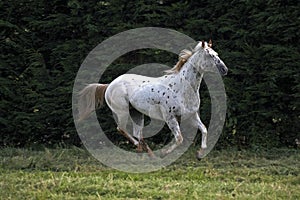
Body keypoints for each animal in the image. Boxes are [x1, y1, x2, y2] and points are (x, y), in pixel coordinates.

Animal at [78, 40, 227, 159]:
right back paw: (142, 149)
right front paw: (164, 153)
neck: (182, 88)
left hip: (136, 113)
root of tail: (109, 85)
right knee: (121, 129)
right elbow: (179, 139)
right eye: (209, 55)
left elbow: (204, 129)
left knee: (136, 132)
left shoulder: (191, 115)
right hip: (122, 112)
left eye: (216, 54)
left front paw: (200, 154)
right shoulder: (170, 117)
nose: (224, 69)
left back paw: (147, 152)